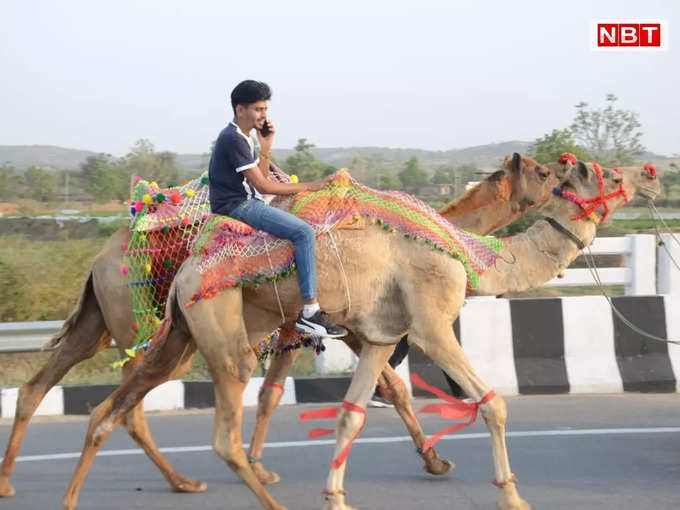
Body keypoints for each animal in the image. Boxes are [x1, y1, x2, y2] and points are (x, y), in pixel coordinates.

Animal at [59, 160, 660, 510]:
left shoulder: (378, 336)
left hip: (176, 334)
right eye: (603, 173)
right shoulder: (428, 325)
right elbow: (490, 403)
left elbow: (355, 412)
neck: (466, 251)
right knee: (217, 430)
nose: (655, 173)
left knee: (104, 408)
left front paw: (343, 494)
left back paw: (88, 494)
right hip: (215, 328)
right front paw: (510, 497)